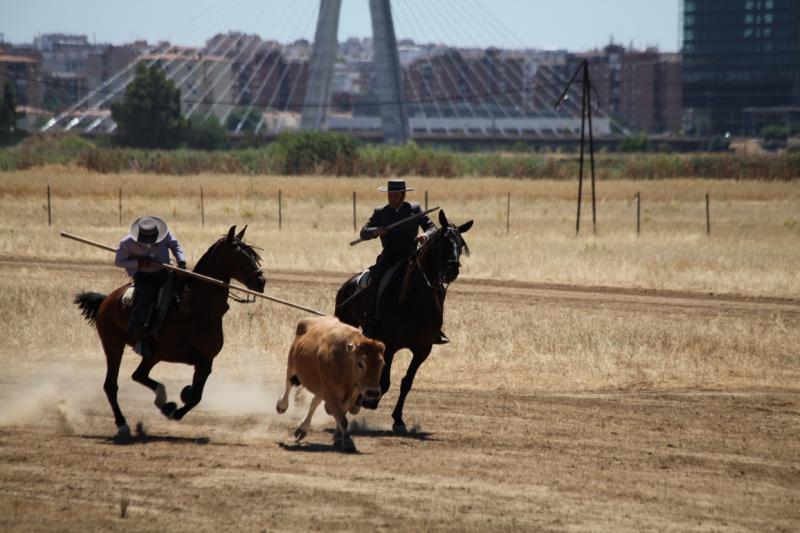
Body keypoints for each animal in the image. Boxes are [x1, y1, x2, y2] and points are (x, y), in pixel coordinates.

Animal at [74, 224, 266, 436]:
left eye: (253, 255)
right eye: (239, 254)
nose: (261, 281)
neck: (197, 305)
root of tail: (106, 300)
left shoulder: (207, 359)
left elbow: (197, 395)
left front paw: (174, 407)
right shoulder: (179, 354)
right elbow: (194, 393)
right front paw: (177, 405)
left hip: (151, 354)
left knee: (138, 375)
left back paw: (162, 401)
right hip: (114, 344)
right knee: (111, 385)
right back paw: (123, 424)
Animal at [276, 314, 386, 450]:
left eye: (382, 364)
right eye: (361, 364)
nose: (373, 392)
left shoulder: (350, 395)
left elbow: (341, 415)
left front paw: (338, 438)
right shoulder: (331, 394)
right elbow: (342, 419)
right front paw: (348, 441)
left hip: (320, 388)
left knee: (314, 402)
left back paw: (302, 429)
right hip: (292, 365)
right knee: (289, 383)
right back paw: (282, 405)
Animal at [334, 209, 472, 432]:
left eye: (460, 244)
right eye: (444, 242)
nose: (452, 270)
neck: (416, 298)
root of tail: (347, 285)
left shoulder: (423, 349)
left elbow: (407, 382)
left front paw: (398, 419)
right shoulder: (390, 345)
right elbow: (384, 382)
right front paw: (369, 401)